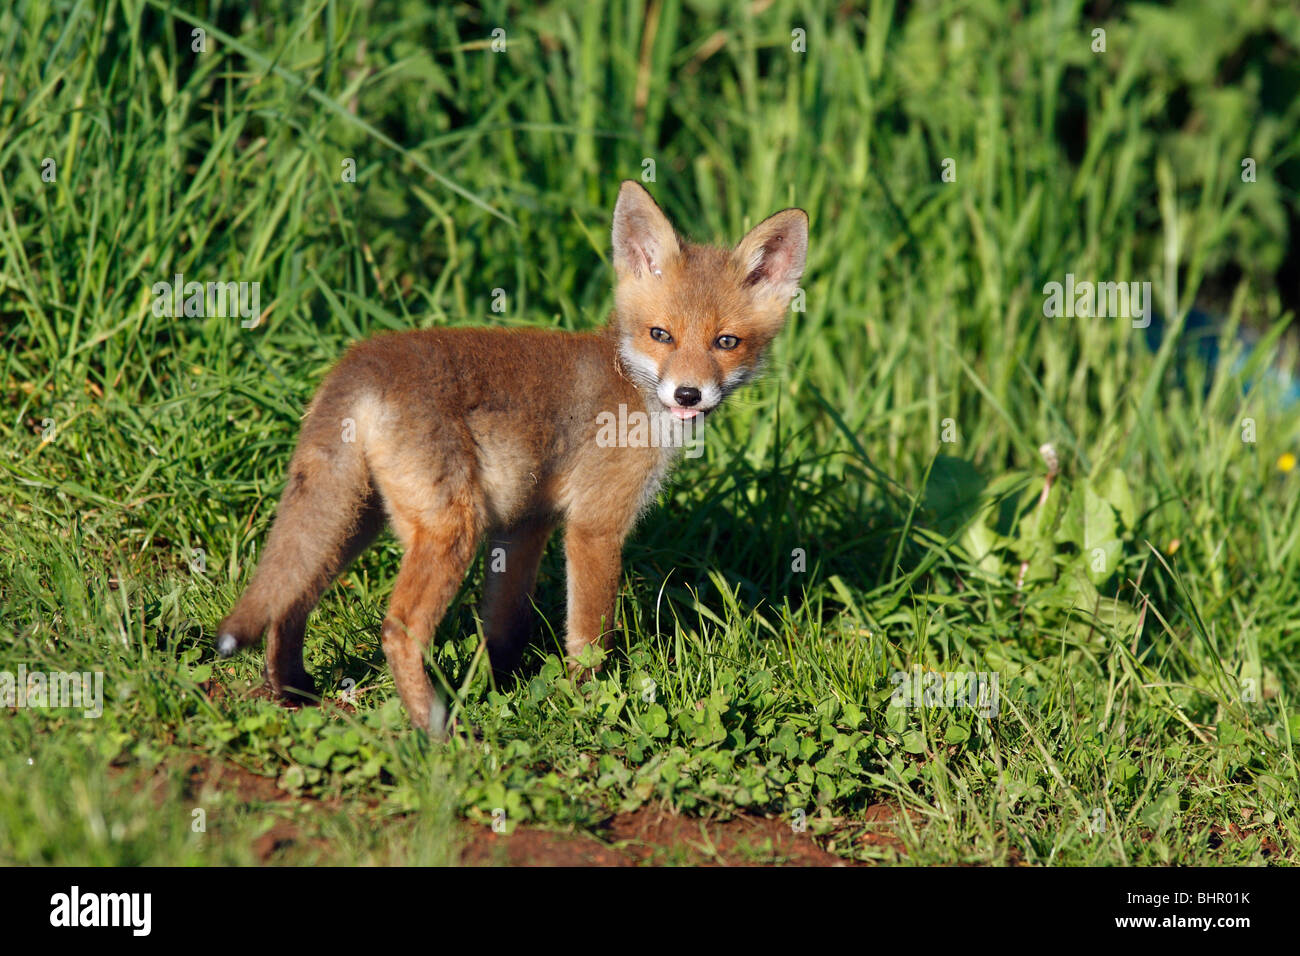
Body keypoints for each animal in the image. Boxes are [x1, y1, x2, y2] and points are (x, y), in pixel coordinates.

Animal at [215, 181, 808, 734]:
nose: (688, 395)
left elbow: (502, 626)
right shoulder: (594, 526)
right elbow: (589, 636)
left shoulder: (526, 521)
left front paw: (501, 688)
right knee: (398, 627)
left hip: (353, 518)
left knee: (290, 601)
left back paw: (296, 692)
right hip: (451, 526)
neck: (631, 387)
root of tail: (362, 359)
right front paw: (588, 705)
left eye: (726, 342)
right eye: (661, 334)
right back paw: (435, 730)